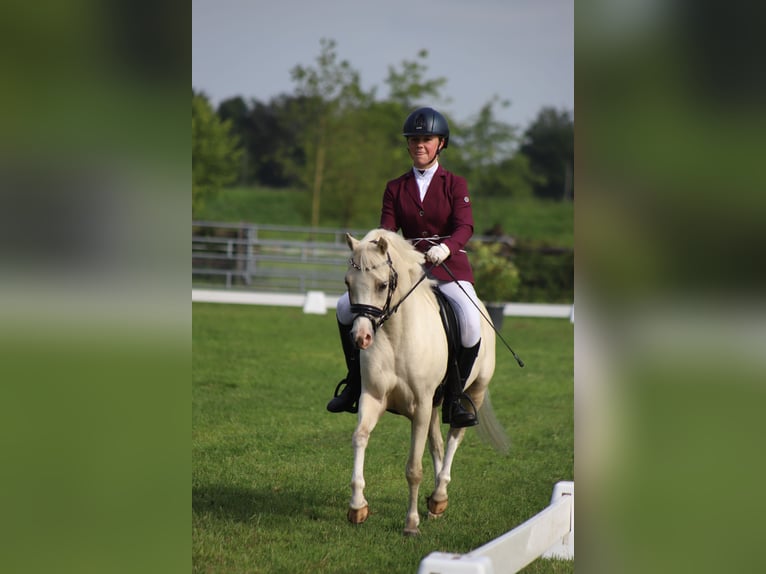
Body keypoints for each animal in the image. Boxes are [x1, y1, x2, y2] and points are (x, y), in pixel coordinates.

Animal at [344, 231, 508, 540]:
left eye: (382, 285)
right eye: (348, 283)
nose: (361, 338)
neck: (395, 335)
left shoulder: (420, 407)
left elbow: (413, 469)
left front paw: (411, 524)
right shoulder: (373, 397)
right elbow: (359, 437)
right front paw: (358, 507)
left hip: (473, 392)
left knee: (455, 436)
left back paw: (440, 495)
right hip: (433, 404)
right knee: (438, 445)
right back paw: (433, 502)